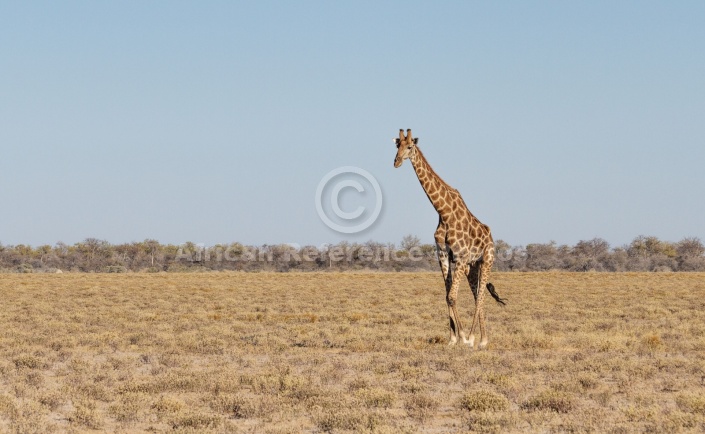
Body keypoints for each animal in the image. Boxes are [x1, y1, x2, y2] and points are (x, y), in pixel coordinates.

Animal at [394, 129, 504, 350]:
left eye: (409, 146)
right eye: (396, 145)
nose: (396, 161)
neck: (443, 213)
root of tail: (490, 236)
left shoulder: (459, 257)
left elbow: (452, 296)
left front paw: (464, 337)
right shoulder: (444, 255)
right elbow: (447, 296)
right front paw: (453, 339)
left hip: (486, 260)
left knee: (480, 297)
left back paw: (478, 340)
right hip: (472, 266)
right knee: (477, 295)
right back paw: (483, 339)